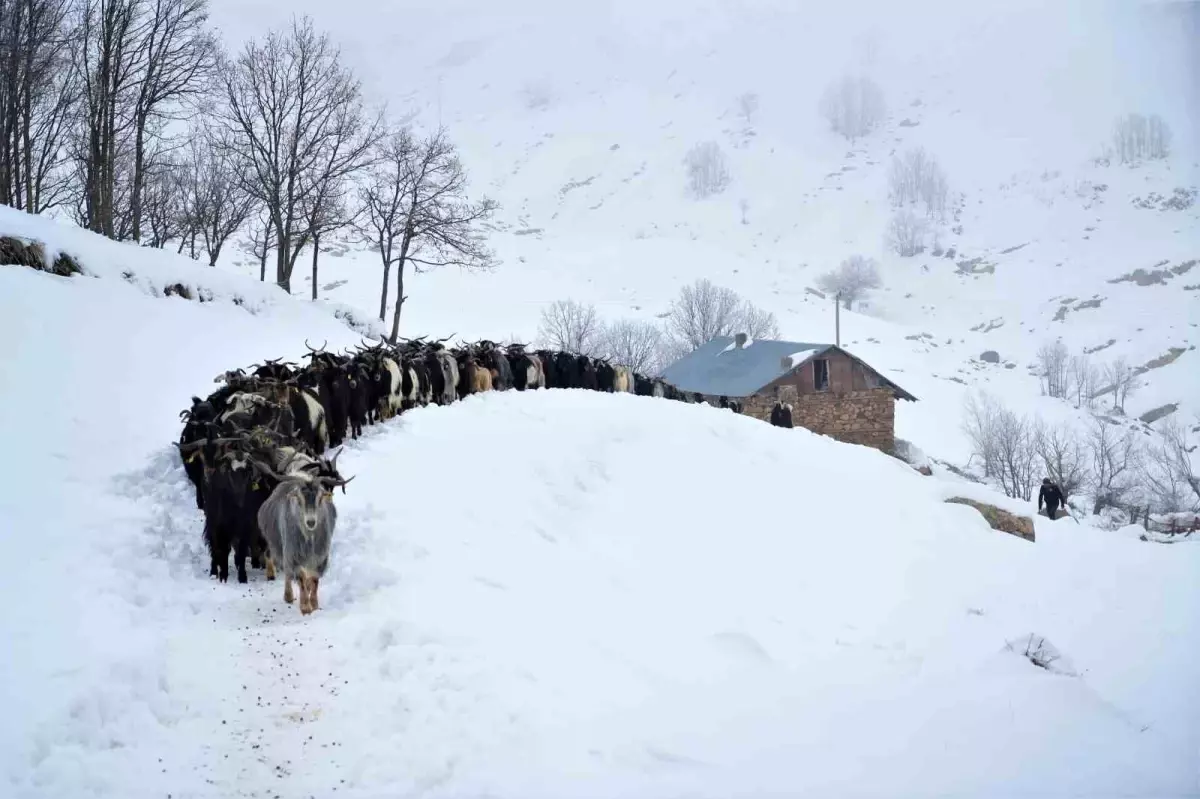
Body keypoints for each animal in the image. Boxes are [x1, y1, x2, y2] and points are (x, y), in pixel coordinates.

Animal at [253, 463, 348, 611]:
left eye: (320, 498)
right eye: (299, 498)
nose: (311, 522)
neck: (309, 538)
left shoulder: (321, 556)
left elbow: (314, 579)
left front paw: (314, 604)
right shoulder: (293, 553)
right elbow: (300, 577)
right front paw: (305, 607)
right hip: (280, 546)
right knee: (286, 569)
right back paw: (288, 595)